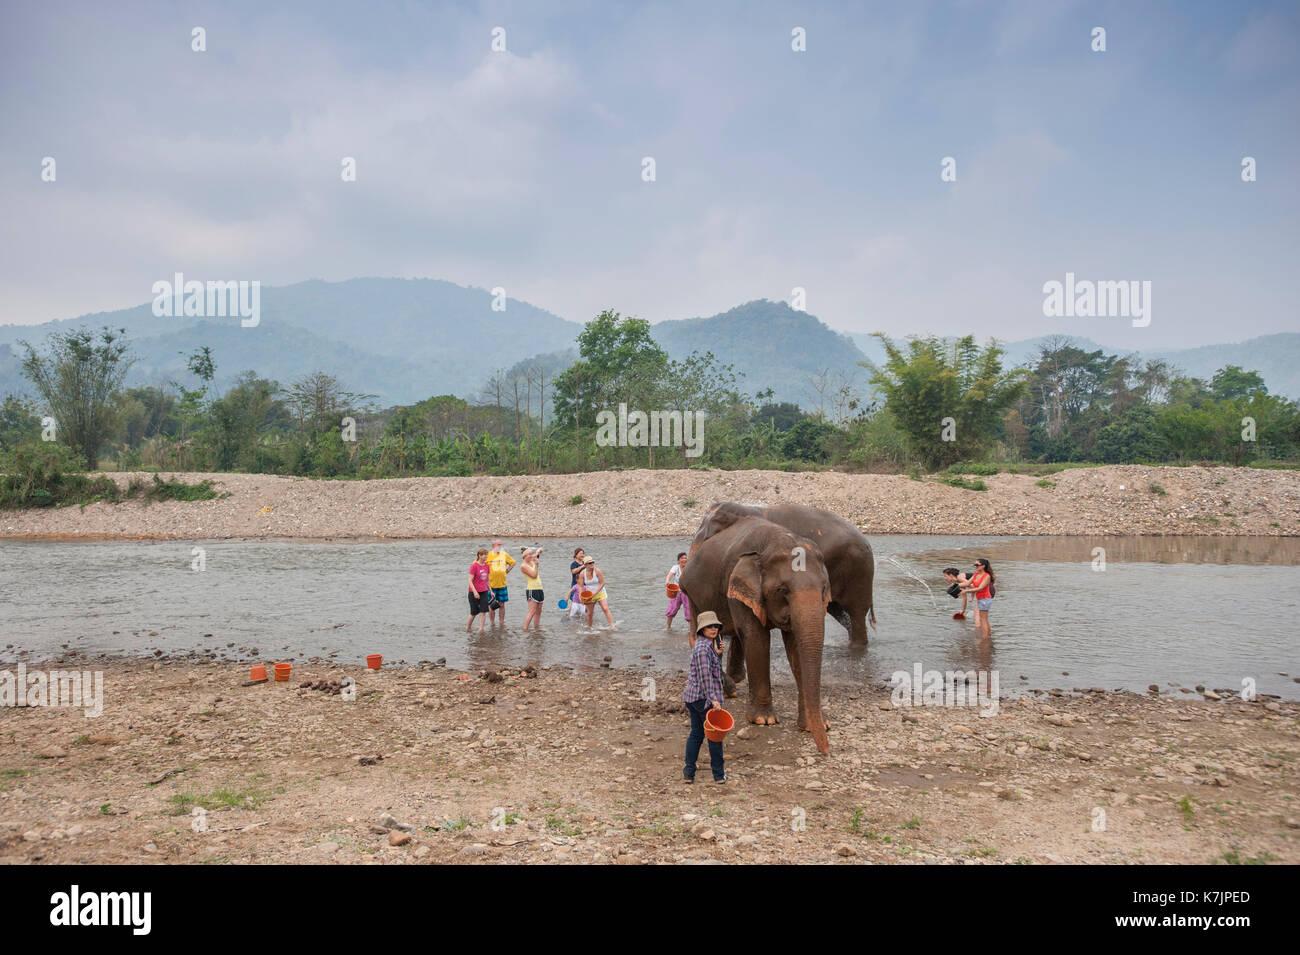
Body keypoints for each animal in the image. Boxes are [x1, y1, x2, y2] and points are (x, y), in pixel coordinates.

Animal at [681, 514, 832, 753]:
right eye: (782, 590)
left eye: (824, 588)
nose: (824, 751)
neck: (774, 541)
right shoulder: (736, 586)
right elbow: (756, 639)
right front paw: (763, 720)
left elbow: (795, 646)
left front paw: (814, 724)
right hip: (693, 596)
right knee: (699, 638)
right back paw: (729, 690)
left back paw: (729, 688)